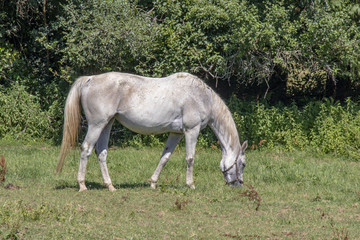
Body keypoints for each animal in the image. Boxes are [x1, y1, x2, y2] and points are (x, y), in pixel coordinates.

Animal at [56, 72, 248, 192]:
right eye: (243, 164)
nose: (239, 185)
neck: (201, 97)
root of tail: (90, 79)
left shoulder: (176, 133)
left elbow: (165, 157)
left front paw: (153, 183)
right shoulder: (191, 131)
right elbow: (190, 158)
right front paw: (190, 184)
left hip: (107, 124)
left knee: (101, 152)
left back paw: (110, 186)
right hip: (96, 125)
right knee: (86, 149)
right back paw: (82, 185)